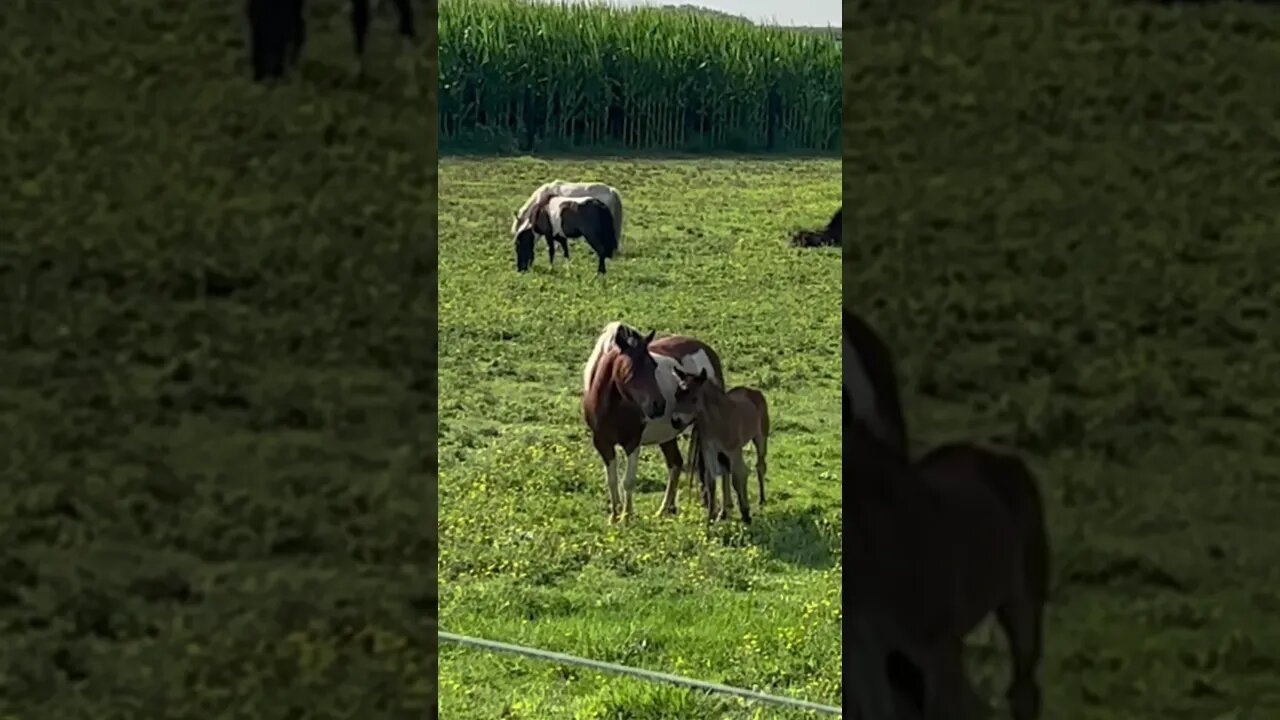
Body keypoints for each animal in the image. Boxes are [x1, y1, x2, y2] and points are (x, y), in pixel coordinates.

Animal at [581, 322, 721, 517]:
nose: (659, 405)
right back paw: (665, 509)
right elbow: (612, 480)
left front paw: (626, 516)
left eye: (654, 366)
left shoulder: (632, 443)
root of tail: (707, 351)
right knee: (676, 463)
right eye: (630, 368)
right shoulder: (603, 443)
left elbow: (628, 481)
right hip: (667, 436)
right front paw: (615, 516)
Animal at [670, 368, 768, 520]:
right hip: (723, 453)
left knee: (759, 466)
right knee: (726, 472)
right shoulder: (709, 450)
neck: (717, 421)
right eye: (676, 395)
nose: (675, 421)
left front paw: (746, 514)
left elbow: (737, 478)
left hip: (760, 437)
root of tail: (753, 391)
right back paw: (723, 512)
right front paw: (710, 518)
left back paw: (762, 499)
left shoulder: (734, 450)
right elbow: (711, 481)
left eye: (694, 398)